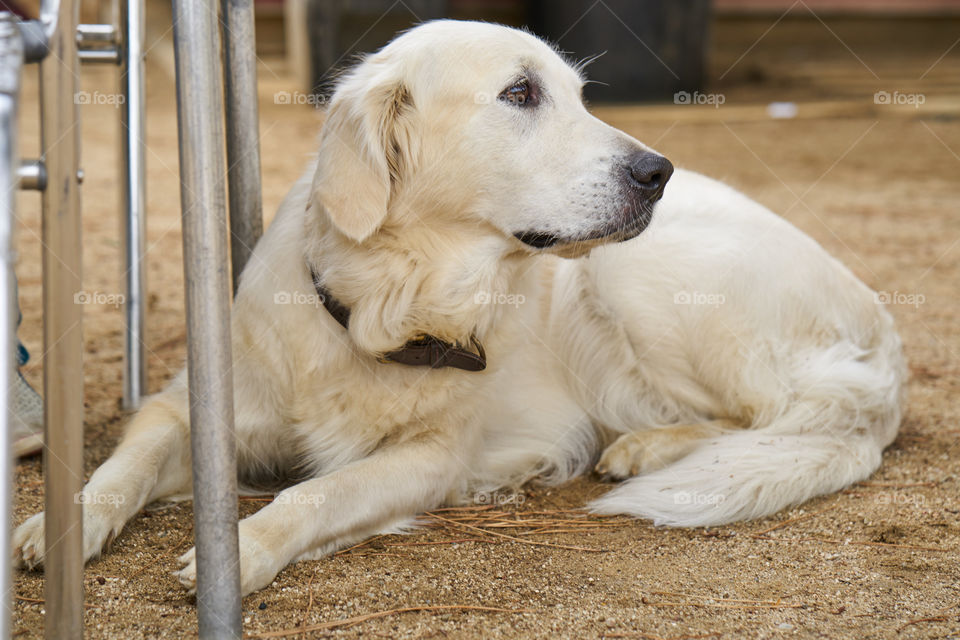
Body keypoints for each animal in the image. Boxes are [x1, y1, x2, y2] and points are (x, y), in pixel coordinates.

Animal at [15, 21, 904, 600]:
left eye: (578, 96)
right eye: (521, 93)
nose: (658, 171)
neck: (386, 305)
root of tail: (882, 329)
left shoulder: (430, 459)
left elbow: (314, 493)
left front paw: (241, 548)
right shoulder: (185, 407)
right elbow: (120, 468)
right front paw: (58, 530)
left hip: (639, 281)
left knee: (778, 417)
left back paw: (644, 448)